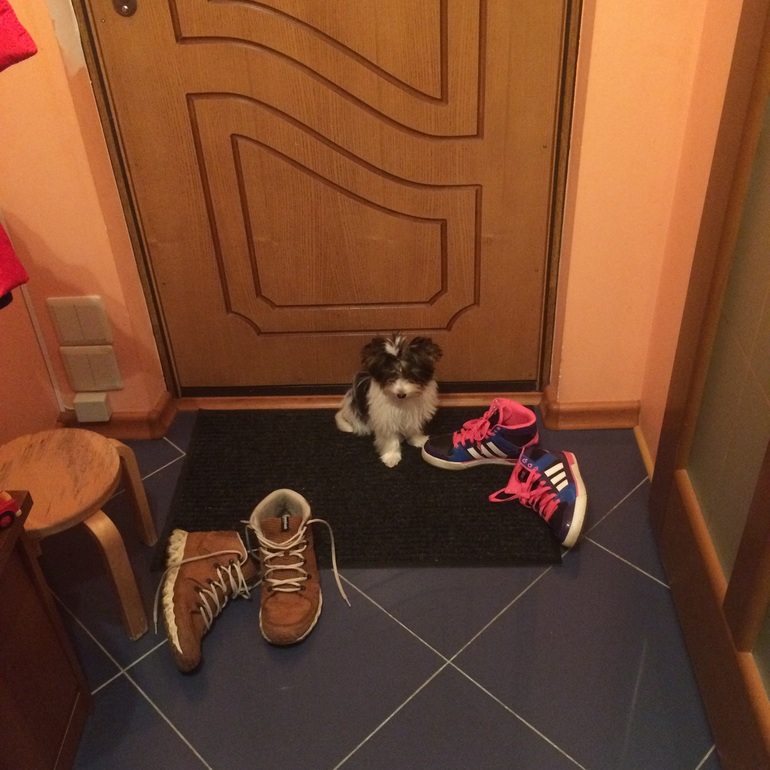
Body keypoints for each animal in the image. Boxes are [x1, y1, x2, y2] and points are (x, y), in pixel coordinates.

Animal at [335, 333, 443, 467]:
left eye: (411, 375)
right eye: (391, 376)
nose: (401, 394)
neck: (402, 402)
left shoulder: (414, 413)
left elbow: (413, 426)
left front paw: (417, 440)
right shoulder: (385, 417)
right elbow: (389, 437)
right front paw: (391, 456)